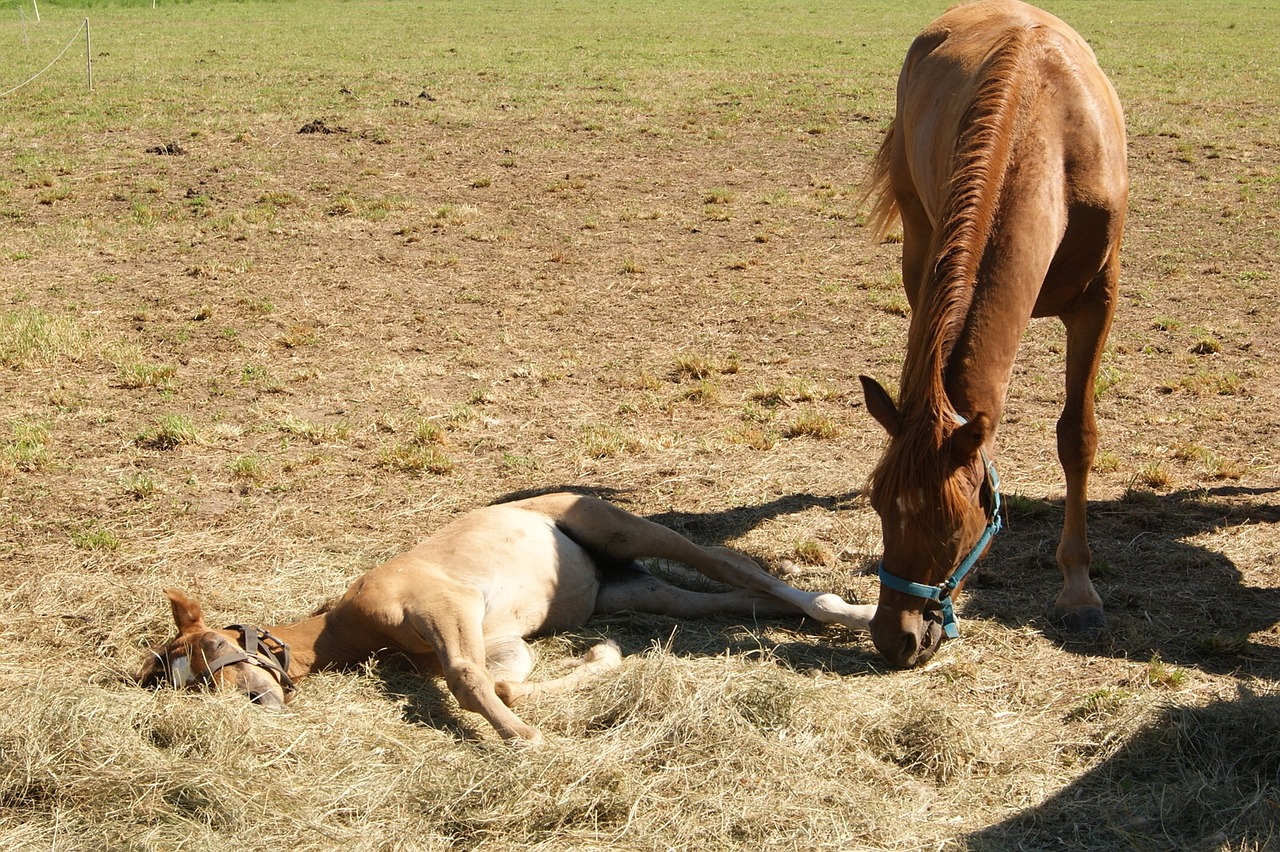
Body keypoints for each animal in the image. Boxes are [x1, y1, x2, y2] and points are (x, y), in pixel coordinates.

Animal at [142, 488, 880, 741]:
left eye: (210, 654)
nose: (251, 710)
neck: (352, 620)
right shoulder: (500, 642)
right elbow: (503, 679)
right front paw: (602, 657)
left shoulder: (448, 607)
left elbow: (470, 681)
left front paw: (523, 739)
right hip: (633, 590)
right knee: (741, 597)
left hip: (623, 530)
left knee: (736, 566)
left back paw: (862, 612)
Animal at [855, 0, 1126, 665]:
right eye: (879, 505)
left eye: (954, 524)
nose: (894, 638)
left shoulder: (1098, 301)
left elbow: (1076, 436)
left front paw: (1078, 591)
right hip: (919, 241)